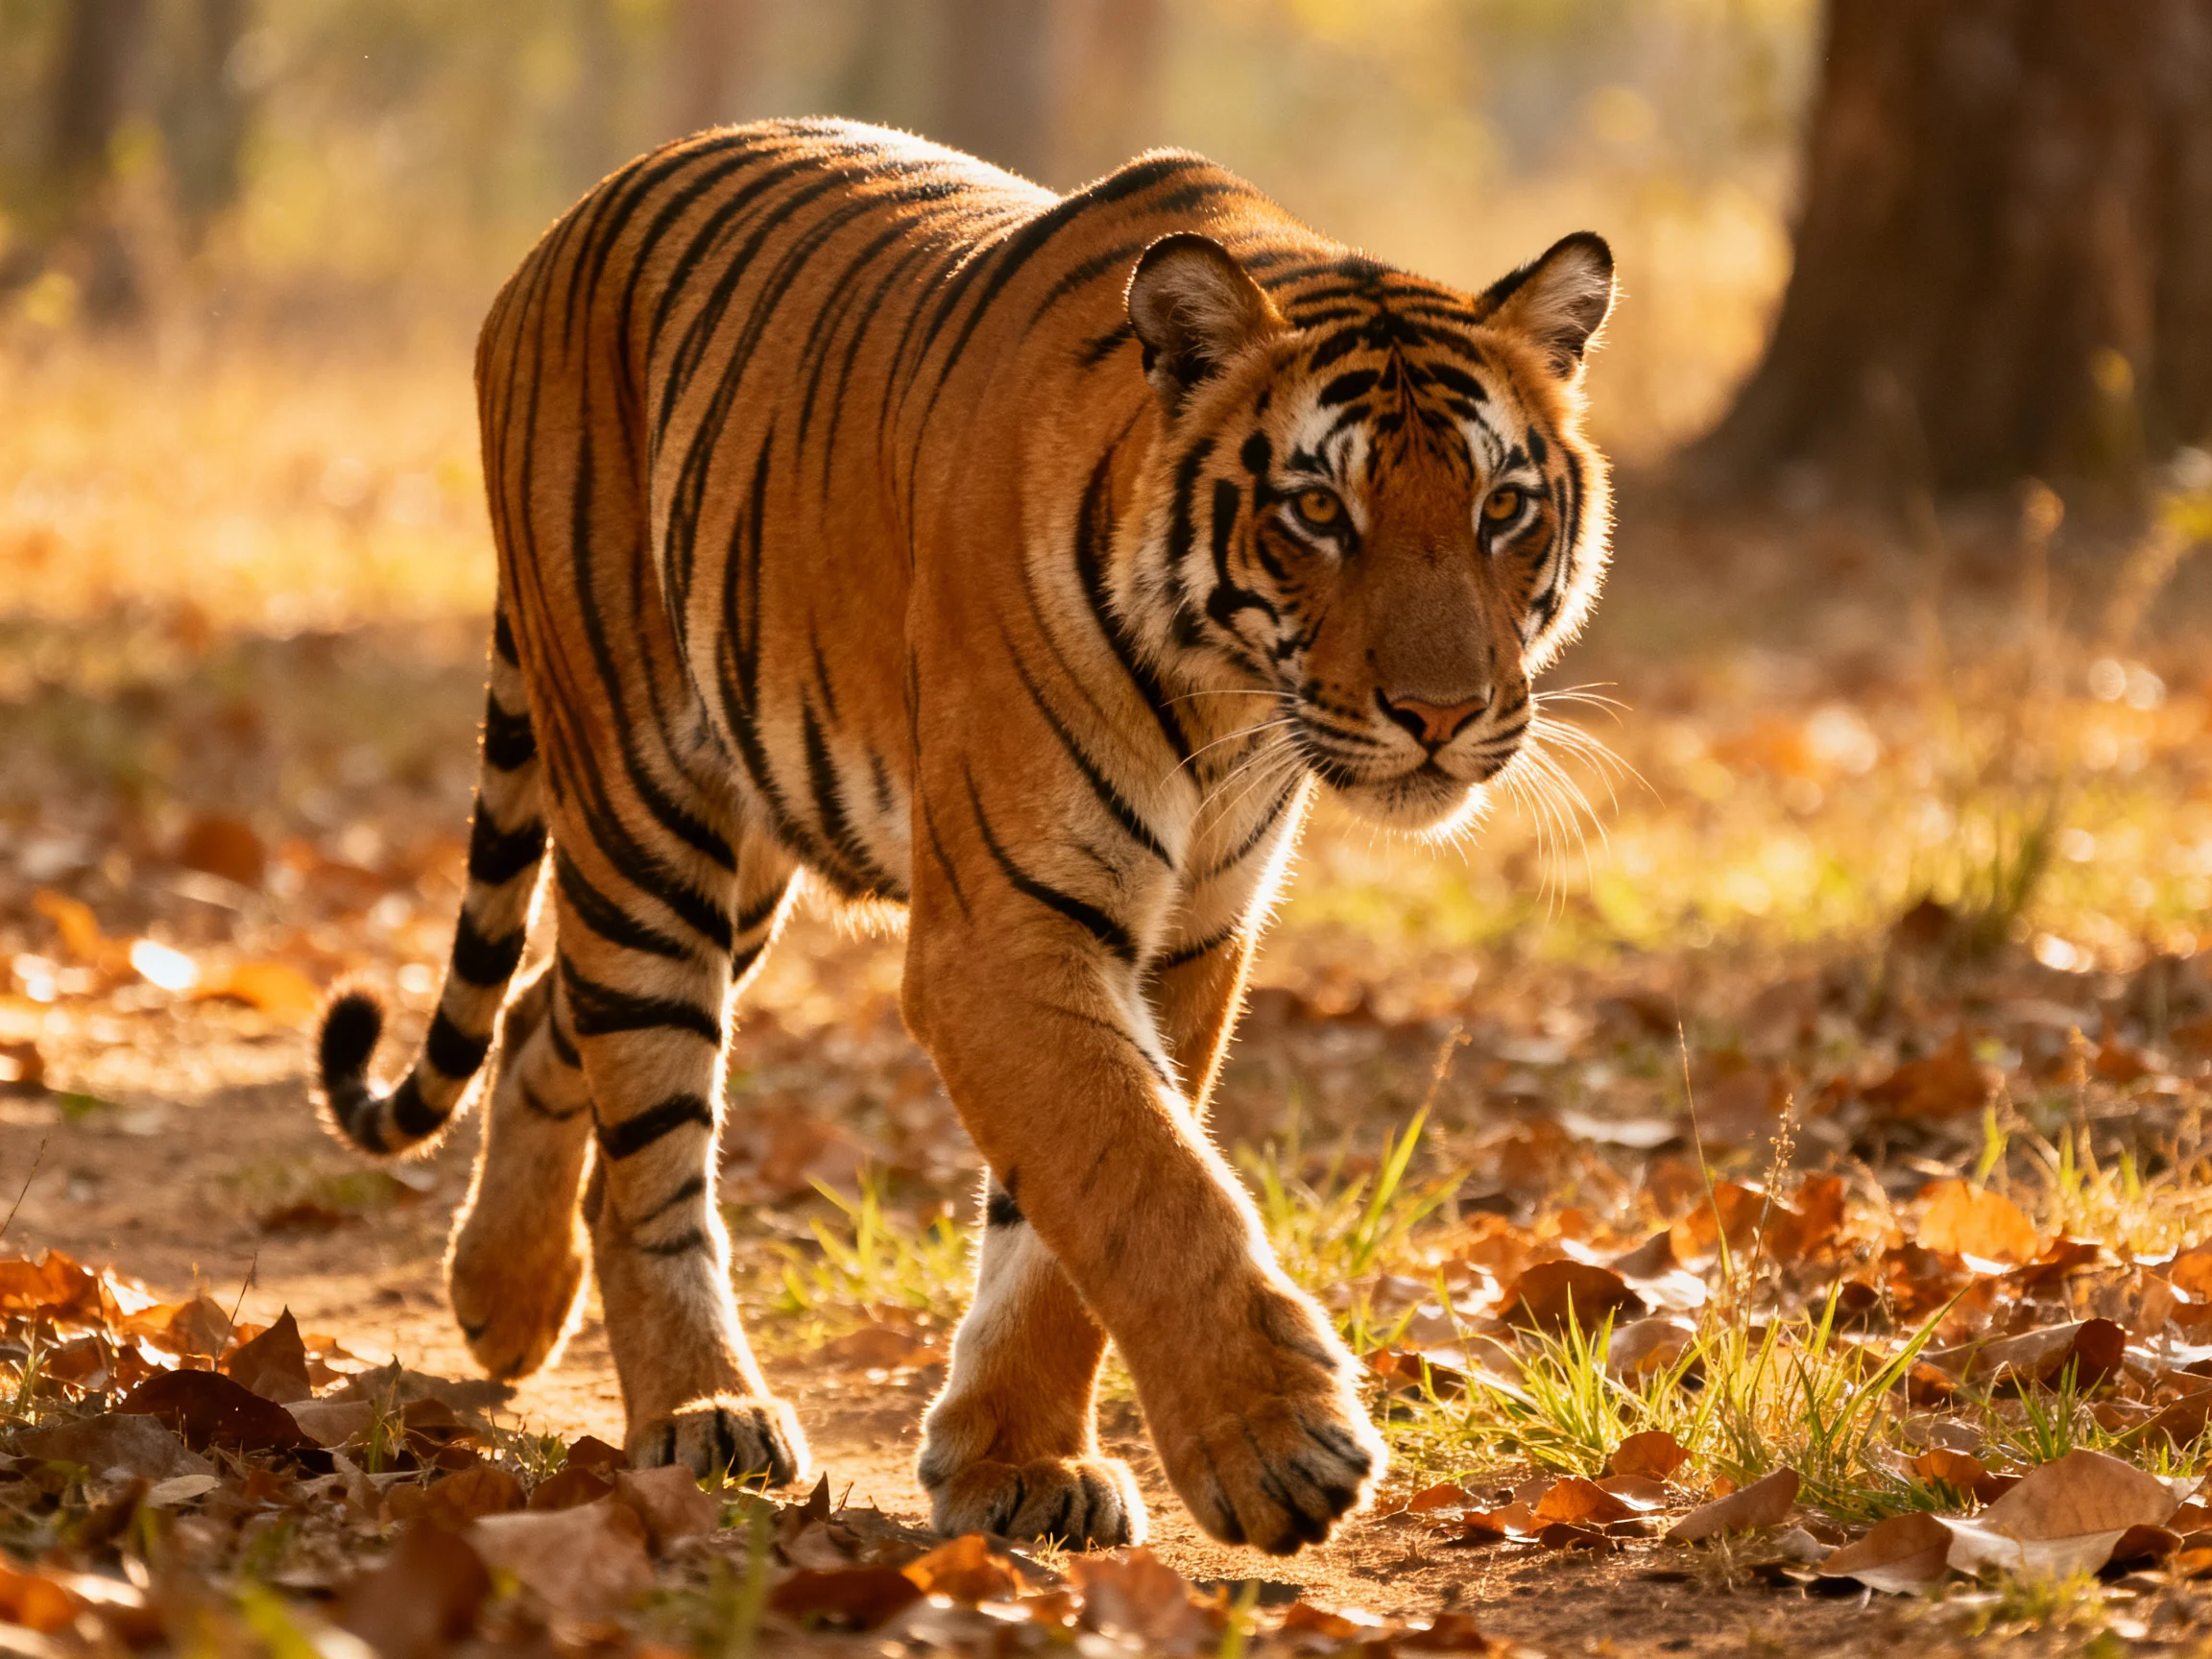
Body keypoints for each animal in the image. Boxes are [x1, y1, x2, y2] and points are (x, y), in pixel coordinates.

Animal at [313, 117, 1613, 1556]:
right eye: (1318, 512)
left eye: (1503, 509)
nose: (1442, 714)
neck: (1226, 702)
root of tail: (569, 224)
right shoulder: (1006, 929)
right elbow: (1142, 1175)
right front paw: (1279, 1448)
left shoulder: (1183, 939)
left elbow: (1066, 1218)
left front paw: (1019, 1464)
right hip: (644, 788)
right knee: (646, 1128)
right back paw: (701, 1411)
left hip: (753, 832)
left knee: (554, 1005)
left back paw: (502, 1299)